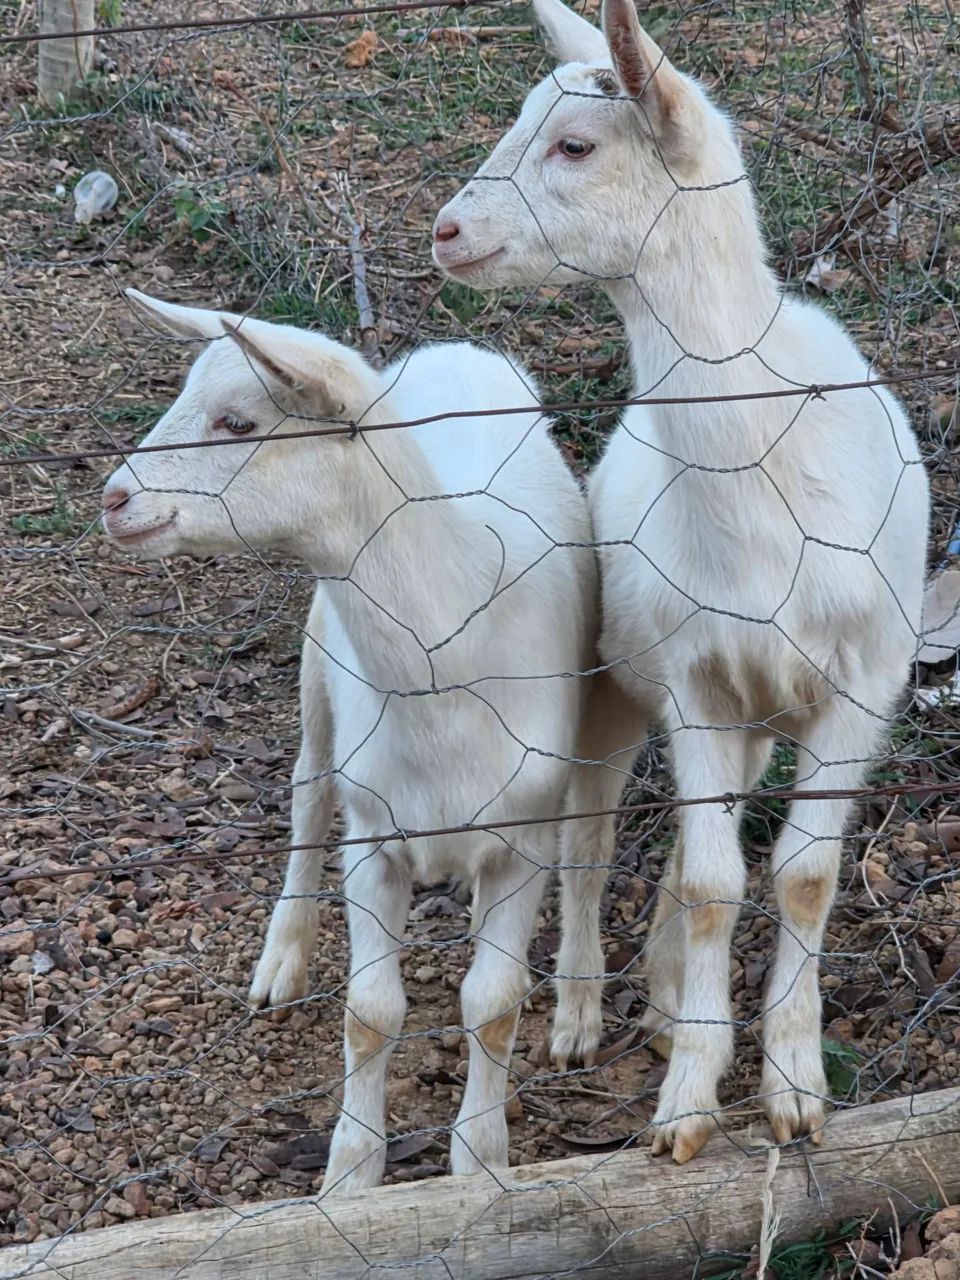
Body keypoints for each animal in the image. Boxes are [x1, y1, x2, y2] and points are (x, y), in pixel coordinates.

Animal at [101, 290, 596, 1191]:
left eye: (237, 420)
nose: (115, 499)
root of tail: (456, 347)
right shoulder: (374, 835)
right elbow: (372, 1012)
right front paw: (351, 1176)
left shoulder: (523, 838)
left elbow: (494, 1003)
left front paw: (479, 1165)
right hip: (318, 664)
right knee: (307, 793)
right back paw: (281, 961)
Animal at [432, 0, 930, 1162]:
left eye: (576, 144)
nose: (447, 231)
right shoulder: (697, 671)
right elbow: (713, 881)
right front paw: (691, 1104)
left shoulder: (862, 678)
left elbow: (798, 874)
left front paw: (793, 1089)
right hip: (611, 678)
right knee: (589, 838)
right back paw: (581, 1014)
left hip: (751, 709)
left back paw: (661, 1001)